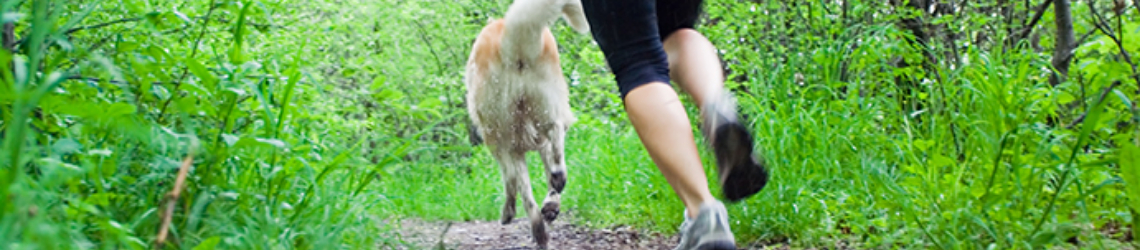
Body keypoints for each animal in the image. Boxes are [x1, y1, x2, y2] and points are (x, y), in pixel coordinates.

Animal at [460, 0, 588, 246]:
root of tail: (512, 42)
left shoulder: (499, 145)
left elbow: (510, 181)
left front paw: (508, 212)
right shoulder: (536, 141)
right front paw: (551, 204)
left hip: (503, 130)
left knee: (522, 187)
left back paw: (536, 229)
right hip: (546, 105)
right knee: (556, 135)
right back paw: (552, 196)